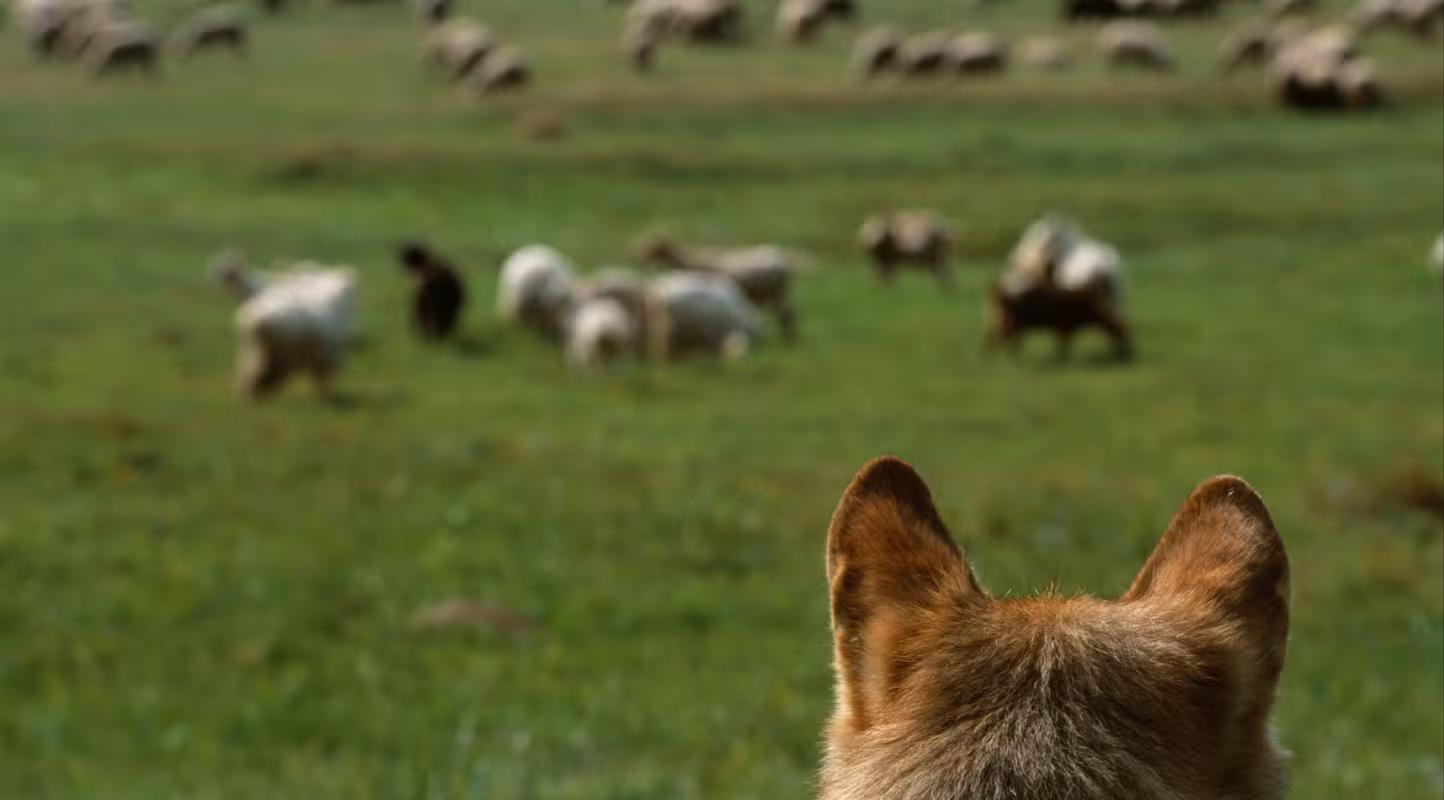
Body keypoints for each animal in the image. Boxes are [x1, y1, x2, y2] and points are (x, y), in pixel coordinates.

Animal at [638, 235, 798, 341]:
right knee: (786, 315)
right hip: (776, 294)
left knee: (786, 315)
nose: (641, 259)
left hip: (776, 293)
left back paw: (789, 340)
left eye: (653, 249)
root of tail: (782, 261)